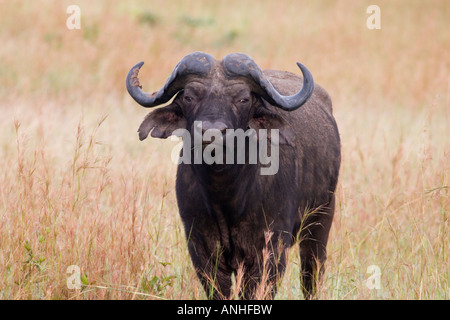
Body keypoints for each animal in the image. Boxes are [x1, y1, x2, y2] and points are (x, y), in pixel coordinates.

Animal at [125, 51, 340, 298]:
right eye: (189, 97)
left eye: (243, 99)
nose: (211, 132)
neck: (226, 194)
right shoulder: (201, 248)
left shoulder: (271, 249)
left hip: (320, 221)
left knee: (311, 274)